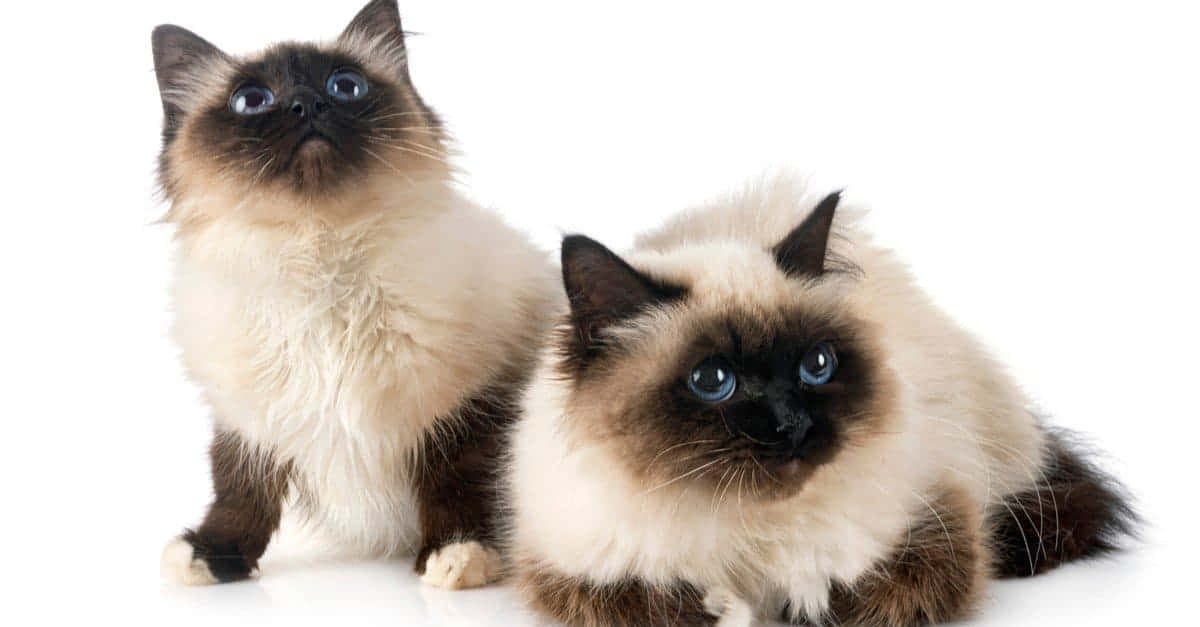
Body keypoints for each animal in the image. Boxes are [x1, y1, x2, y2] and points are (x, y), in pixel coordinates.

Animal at [151, 0, 556, 586]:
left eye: (345, 86)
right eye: (253, 100)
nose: (307, 104)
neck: (320, 261)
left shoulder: (468, 401)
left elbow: (459, 480)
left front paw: (458, 554)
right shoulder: (249, 421)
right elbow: (238, 492)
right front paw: (210, 554)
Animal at [504, 172, 1132, 619]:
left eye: (817, 366)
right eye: (712, 380)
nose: (792, 425)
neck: (744, 529)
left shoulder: (933, 530)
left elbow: (860, 598)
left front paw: (800, 599)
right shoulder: (577, 572)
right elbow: (664, 606)